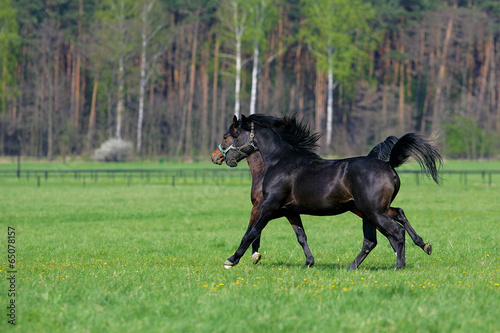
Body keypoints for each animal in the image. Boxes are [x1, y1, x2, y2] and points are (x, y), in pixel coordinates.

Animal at [219, 114, 442, 270]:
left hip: (373, 211)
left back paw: (399, 265)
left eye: (230, 135)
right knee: (384, 230)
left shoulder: (269, 206)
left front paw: (231, 259)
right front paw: (309, 262)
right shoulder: (290, 210)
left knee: (395, 233)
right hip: (371, 211)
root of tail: (389, 165)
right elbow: (301, 235)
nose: (222, 158)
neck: (280, 161)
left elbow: (251, 232)